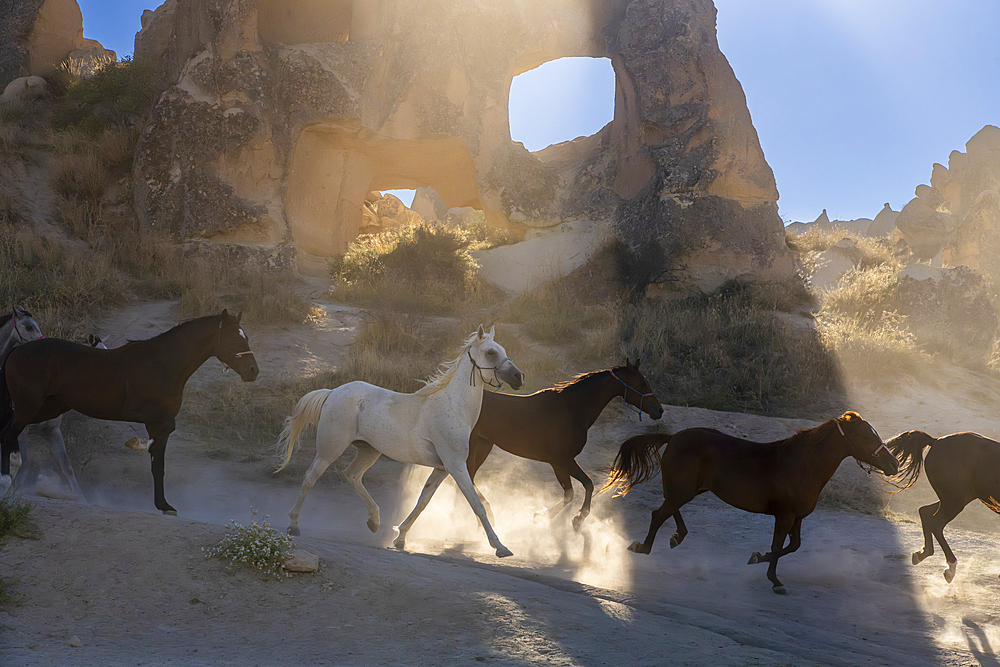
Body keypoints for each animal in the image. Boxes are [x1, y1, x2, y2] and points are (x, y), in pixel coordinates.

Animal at [0, 310, 258, 516]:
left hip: (45, 409)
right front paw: (136, 444)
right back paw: (5, 484)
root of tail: (16, 352)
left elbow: (158, 466)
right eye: (234, 337)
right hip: (29, 408)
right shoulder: (146, 414)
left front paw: (164, 506)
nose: (253, 371)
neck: (163, 364)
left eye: (246, 337)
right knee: (7, 434)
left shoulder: (156, 424)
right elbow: (162, 439)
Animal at [274, 324, 524, 560]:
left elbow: (422, 502)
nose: (519, 377)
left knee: (352, 475)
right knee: (310, 478)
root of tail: (333, 392)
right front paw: (500, 547)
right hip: (330, 449)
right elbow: (477, 505)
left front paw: (400, 538)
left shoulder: (442, 468)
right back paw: (294, 525)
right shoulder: (456, 465)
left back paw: (374, 521)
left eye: (503, 350)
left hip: (369, 451)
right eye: (491, 352)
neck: (453, 407)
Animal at [392, 360, 664, 548]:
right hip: (473, 448)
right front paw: (574, 520)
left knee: (467, 479)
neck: (573, 409)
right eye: (642, 383)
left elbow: (570, 493)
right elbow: (584, 486)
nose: (659, 410)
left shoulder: (560, 463)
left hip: (483, 446)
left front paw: (541, 517)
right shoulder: (561, 460)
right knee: (466, 479)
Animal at [600, 412, 900, 596]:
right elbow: (778, 547)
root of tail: (673, 437)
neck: (803, 465)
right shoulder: (784, 515)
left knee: (669, 512)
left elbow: (793, 546)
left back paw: (676, 537)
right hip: (681, 491)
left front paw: (757, 558)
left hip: (687, 491)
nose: (894, 464)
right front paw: (775, 580)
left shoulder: (798, 517)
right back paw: (643, 547)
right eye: (866, 436)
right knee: (659, 514)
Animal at [884, 434, 1000, 584]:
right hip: (954, 501)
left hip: (956, 498)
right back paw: (950, 568)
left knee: (925, 512)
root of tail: (936, 441)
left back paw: (922, 554)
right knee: (935, 523)